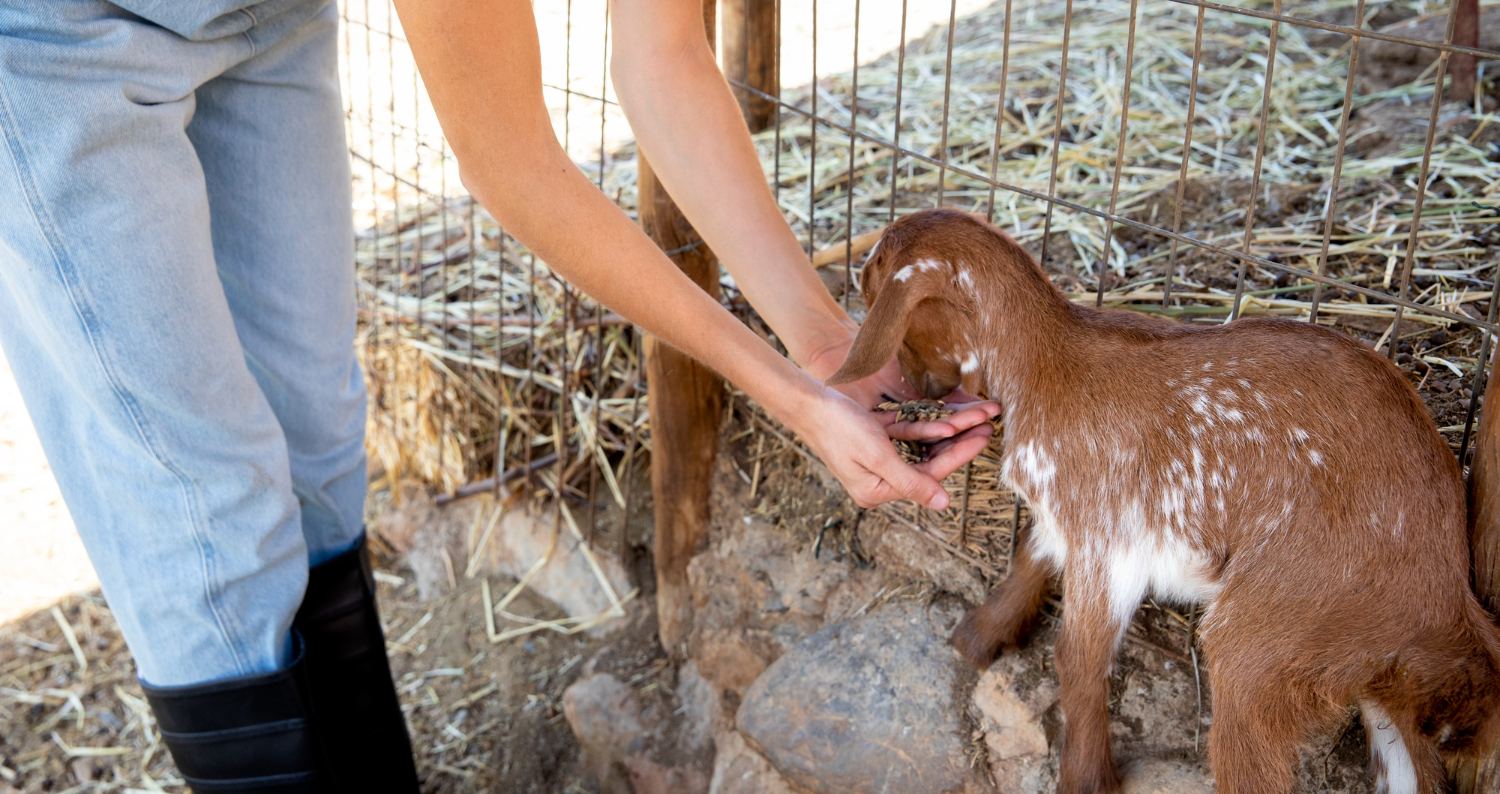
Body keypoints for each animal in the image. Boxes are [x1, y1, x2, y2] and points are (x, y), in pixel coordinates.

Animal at [827, 207, 1500, 794]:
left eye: (875, 288)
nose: (915, 391)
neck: (1046, 365)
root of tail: (1446, 597)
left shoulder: (1106, 534)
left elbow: (1079, 660)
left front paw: (1085, 779)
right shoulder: (1065, 519)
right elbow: (1028, 558)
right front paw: (974, 639)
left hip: (1276, 628)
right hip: (1372, 685)